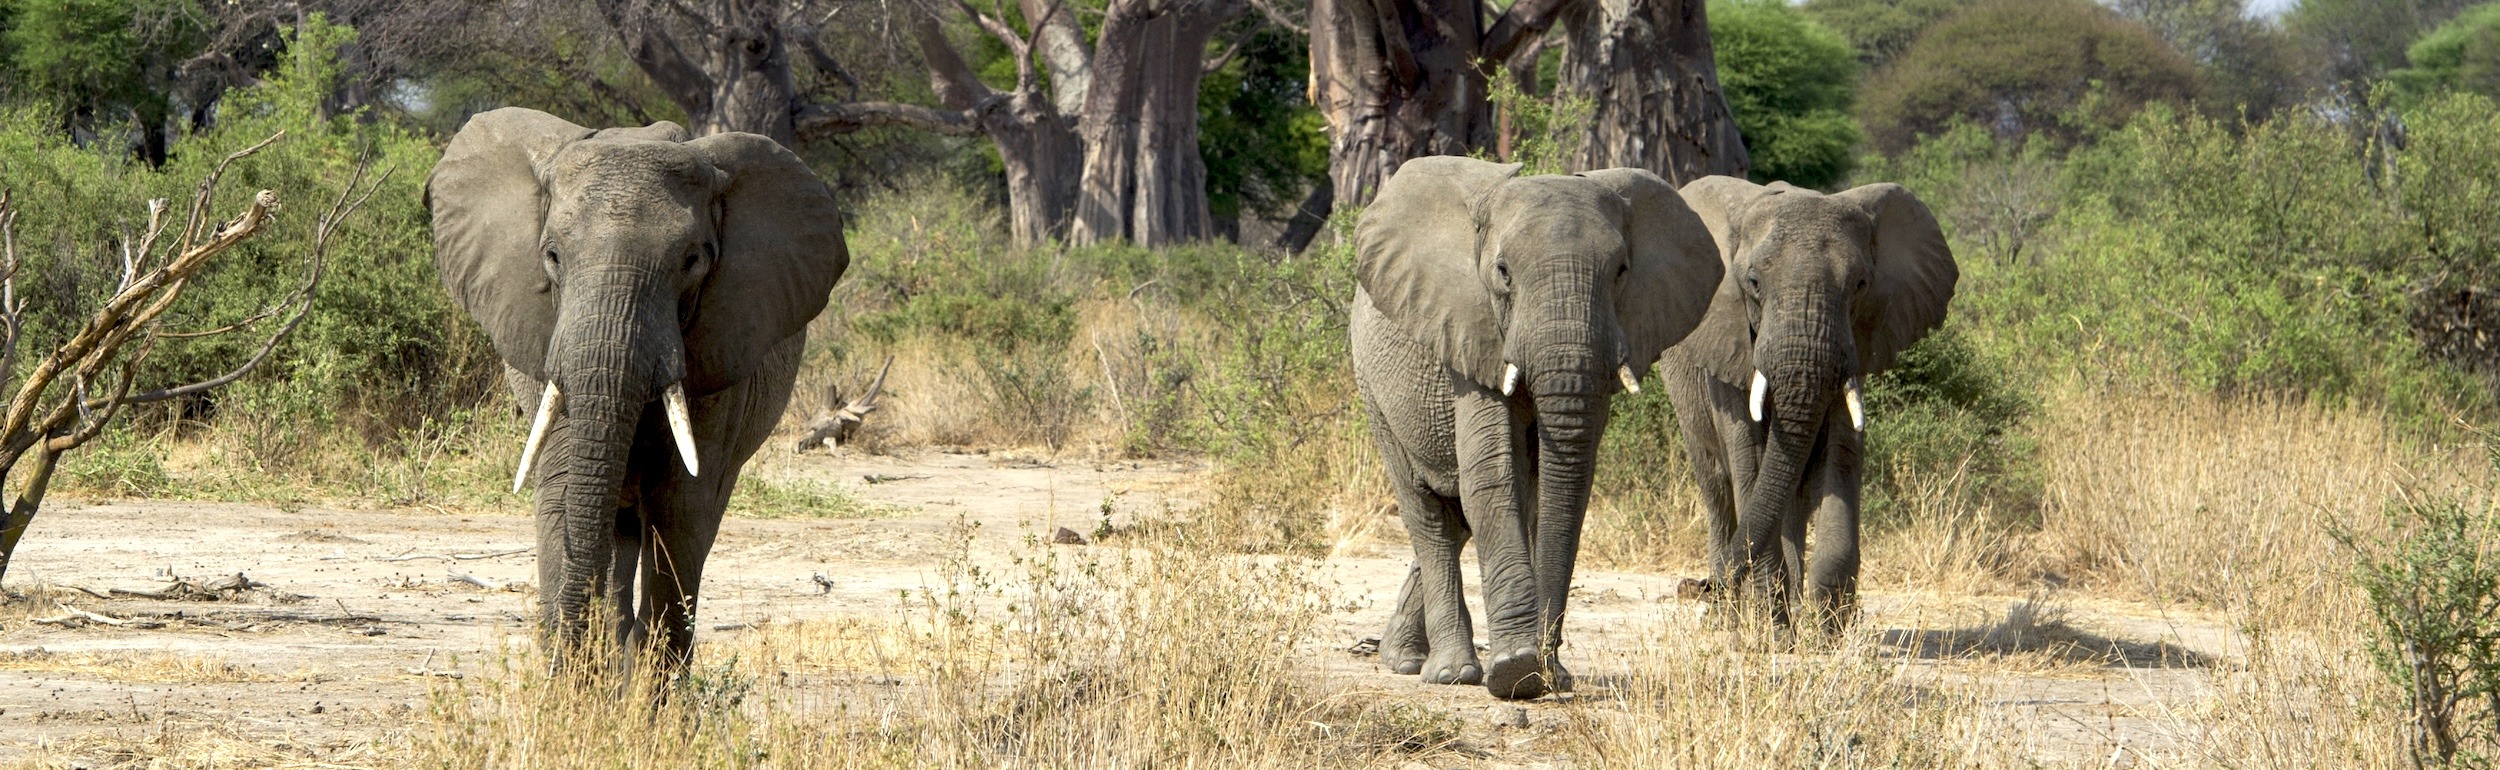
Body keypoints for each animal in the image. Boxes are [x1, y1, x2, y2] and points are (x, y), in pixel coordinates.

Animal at [426, 108, 849, 670]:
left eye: (692, 261)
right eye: (552, 256)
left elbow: (680, 505)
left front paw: (647, 689)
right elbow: (564, 486)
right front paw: (576, 685)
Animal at [1353, 156, 1721, 699]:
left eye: (1622, 271)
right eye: (1503, 273)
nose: (1546, 666)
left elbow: (1561, 482)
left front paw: (1546, 674)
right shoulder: (1472, 333)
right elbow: (1492, 479)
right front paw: (1514, 673)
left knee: (1463, 517)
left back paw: (1405, 659)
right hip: (1375, 392)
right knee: (1428, 514)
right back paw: (1447, 672)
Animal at [1659, 176, 1956, 634]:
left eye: (1860, 285)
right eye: (1753, 282)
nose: (1701, 588)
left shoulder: (1854, 347)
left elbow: (1841, 457)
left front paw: (1827, 632)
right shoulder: (1729, 348)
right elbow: (1751, 462)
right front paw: (1773, 631)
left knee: (1793, 497)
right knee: (1719, 488)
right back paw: (1729, 619)